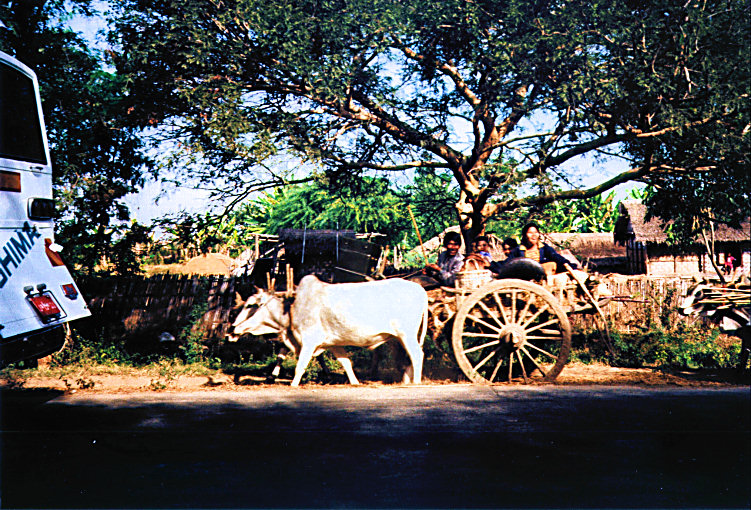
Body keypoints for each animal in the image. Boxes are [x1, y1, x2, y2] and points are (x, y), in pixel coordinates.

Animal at [232, 275, 429, 386]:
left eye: (251, 305)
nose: (233, 329)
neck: (292, 309)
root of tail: (421, 290)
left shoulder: (309, 341)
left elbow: (299, 367)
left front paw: (293, 385)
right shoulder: (334, 343)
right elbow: (346, 364)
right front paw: (355, 383)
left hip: (406, 335)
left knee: (417, 355)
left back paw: (416, 382)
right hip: (398, 339)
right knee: (406, 358)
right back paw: (405, 381)